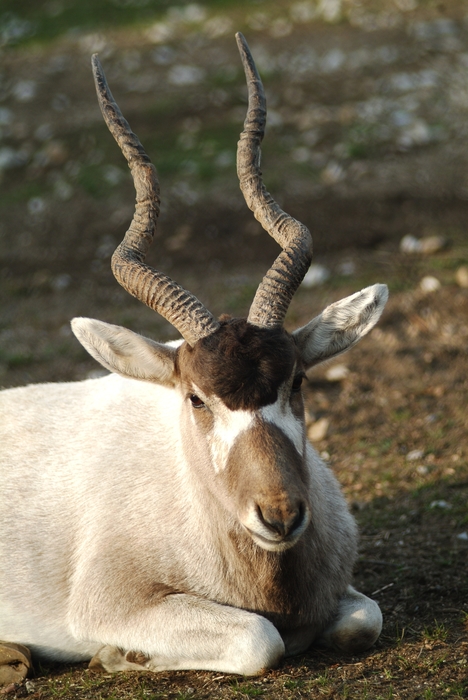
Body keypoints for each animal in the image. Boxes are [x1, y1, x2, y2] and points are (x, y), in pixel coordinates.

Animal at [0, 34, 388, 680]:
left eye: (297, 381)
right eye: (196, 399)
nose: (280, 516)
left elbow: (364, 620)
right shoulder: (111, 602)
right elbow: (260, 638)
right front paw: (122, 654)